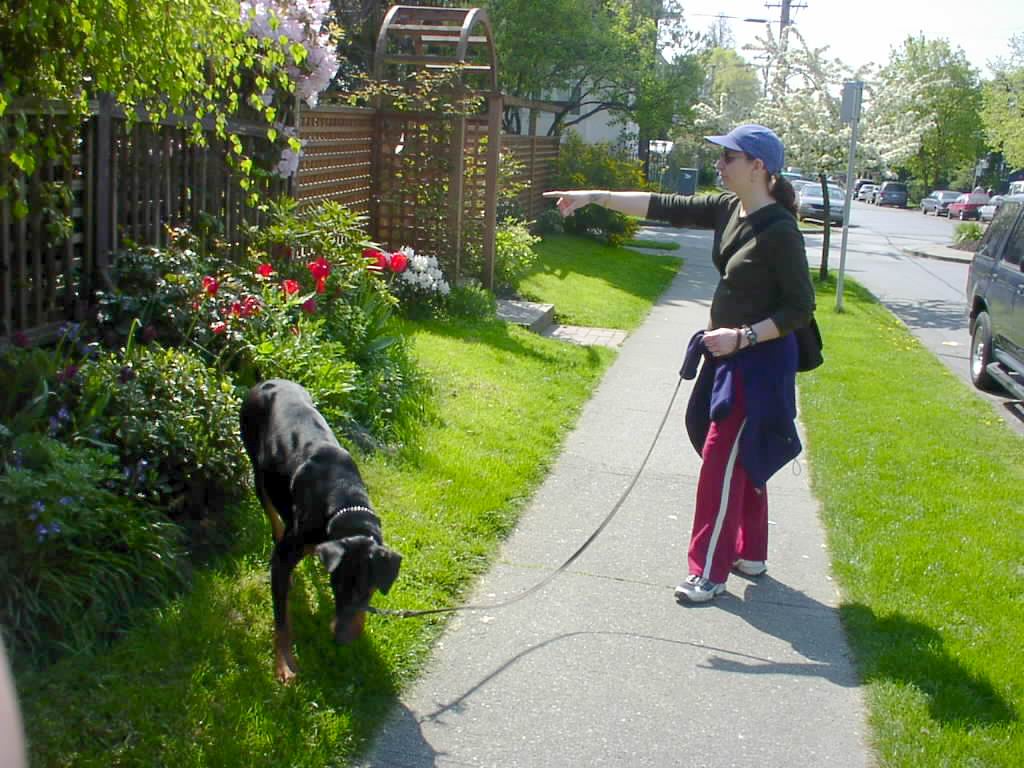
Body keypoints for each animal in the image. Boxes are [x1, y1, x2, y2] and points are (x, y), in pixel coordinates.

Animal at [238, 380, 399, 684]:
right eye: (337, 585)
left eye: (368, 589)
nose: (341, 639)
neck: (345, 505)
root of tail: (265, 381)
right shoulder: (288, 553)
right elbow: (282, 619)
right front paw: (284, 665)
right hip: (256, 467)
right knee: (271, 510)